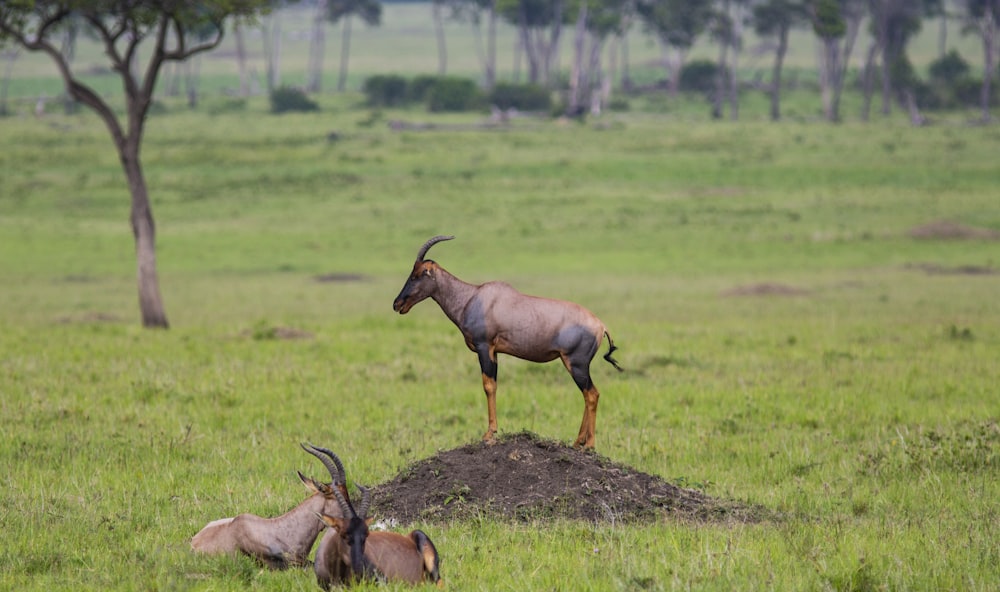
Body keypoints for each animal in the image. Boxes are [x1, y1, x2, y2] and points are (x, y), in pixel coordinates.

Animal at [392, 236, 620, 448]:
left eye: (417, 274)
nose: (397, 304)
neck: (472, 297)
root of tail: (601, 326)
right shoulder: (495, 352)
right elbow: (493, 385)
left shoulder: (484, 348)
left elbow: (488, 386)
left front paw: (489, 433)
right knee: (588, 395)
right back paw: (577, 442)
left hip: (576, 364)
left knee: (592, 394)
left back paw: (589, 445)